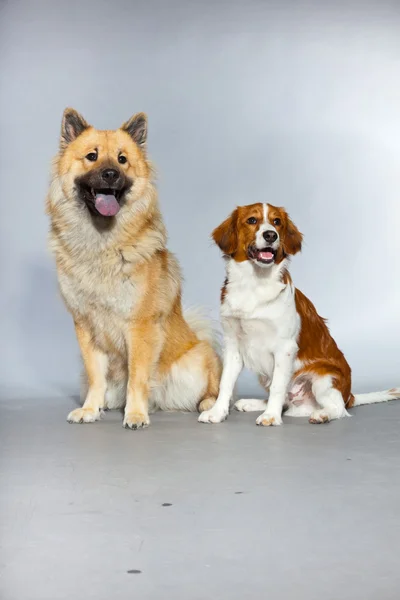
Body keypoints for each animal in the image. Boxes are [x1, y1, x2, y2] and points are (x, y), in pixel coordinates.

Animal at [198, 204, 398, 424]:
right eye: (251, 220)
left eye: (277, 222)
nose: (271, 235)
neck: (255, 283)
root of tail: (349, 396)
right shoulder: (233, 345)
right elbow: (225, 383)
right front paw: (217, 412)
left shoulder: (284, 348)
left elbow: (277, 387)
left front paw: (271, 416)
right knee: (286, 401)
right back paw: (252, 403)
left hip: (324, 379)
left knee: (338, 409)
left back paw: (321, 414)